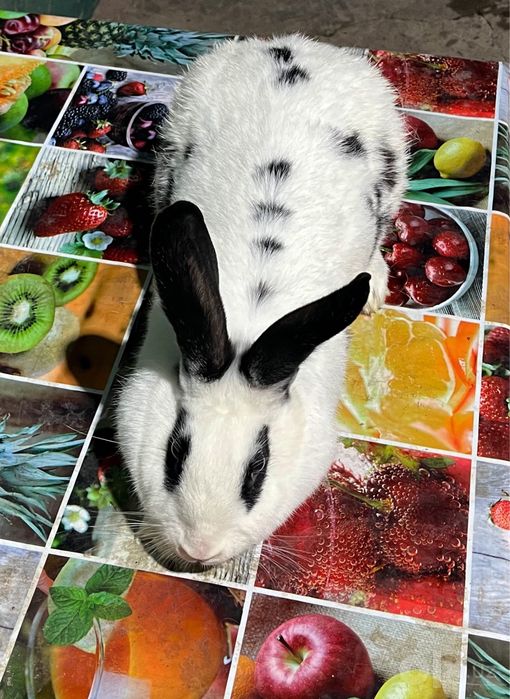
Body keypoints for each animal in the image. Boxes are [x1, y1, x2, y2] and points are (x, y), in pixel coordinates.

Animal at [116, 34, 407, 567]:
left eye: (258, 470)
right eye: (174, 455)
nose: (200, 548)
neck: (249, 322)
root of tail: (294, 47)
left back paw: (374, 285)